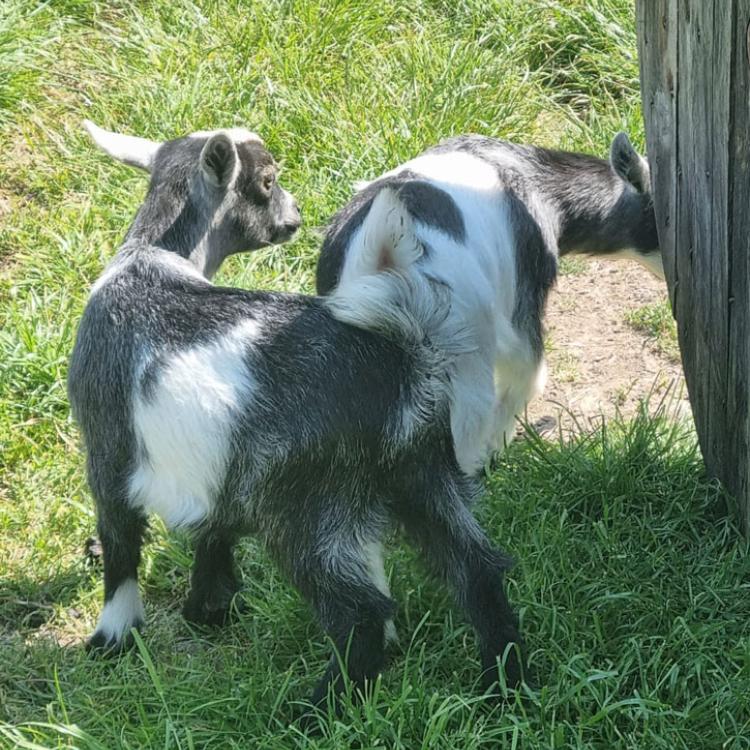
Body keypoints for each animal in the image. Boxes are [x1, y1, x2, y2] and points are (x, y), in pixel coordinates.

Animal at [72, 122, 528, 712]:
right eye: (267, 181)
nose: (295, 217)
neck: (144, 261)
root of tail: (405, 358)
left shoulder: (106, 447)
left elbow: (120, 539)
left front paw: (112, 636)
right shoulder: (217, 469)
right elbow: (211, 528)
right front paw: (208, 607)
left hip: (306, 509)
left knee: (360, 613)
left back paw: (317, 709)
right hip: (422, 476)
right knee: (478, 572)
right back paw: (505, 683)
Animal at [318, 133, 664, 472]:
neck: (538, 182)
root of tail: (385, 253)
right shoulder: (524, 303)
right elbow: (527, 378)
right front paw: (497, 446)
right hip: (462, 364)